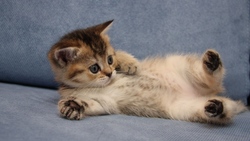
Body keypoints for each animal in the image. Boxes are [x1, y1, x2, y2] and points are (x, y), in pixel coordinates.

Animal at [47, 20, 246, 124]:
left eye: (109, 60)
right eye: (94, 68)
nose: (110, 73)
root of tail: (208, 93)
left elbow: (124, 56)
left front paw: (129, 63)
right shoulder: (106, 102)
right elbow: (92, 104)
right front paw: (73, 106)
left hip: (182, 65)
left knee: (211, 78)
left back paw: (212, 63)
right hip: (184, 109)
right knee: (218, 109)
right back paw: (216, 107)